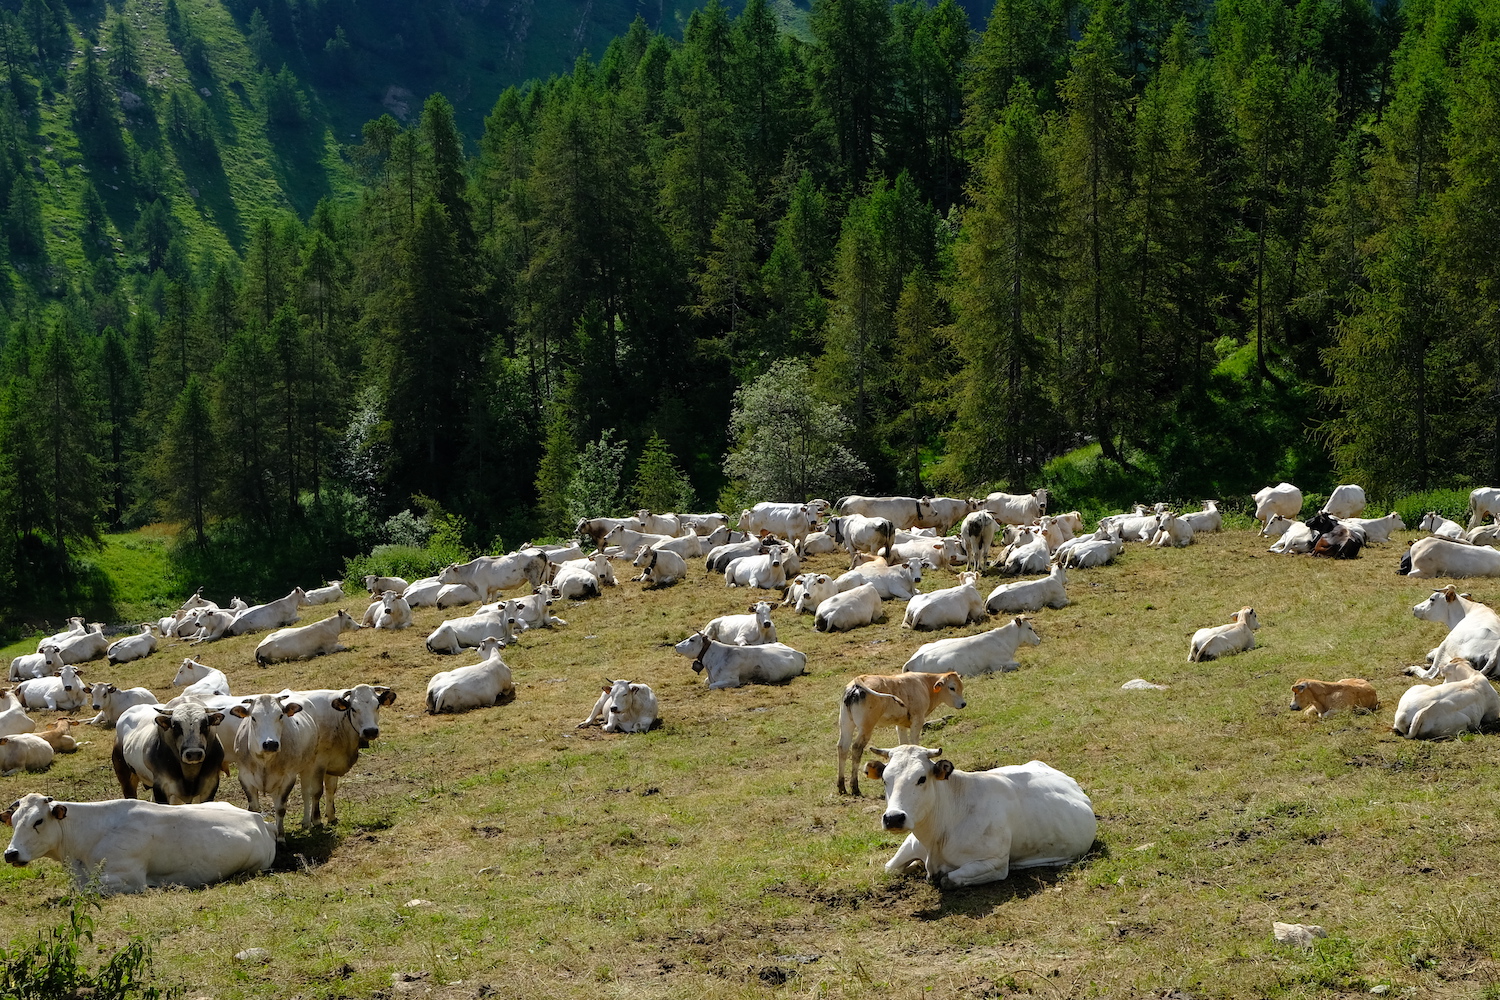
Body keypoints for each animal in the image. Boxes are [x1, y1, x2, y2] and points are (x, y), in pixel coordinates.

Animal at [672, 632, 804, 689]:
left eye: (692, 639)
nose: (676, 646)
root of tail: (799, 653)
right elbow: (706, 682)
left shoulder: (732, 680)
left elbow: (711, 686)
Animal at [864, 746, 1098, 887]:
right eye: (885, 779)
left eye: (921, 778)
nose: (893, 818)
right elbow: (889, 868)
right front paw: (914, 866)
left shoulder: (995, 863)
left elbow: (948, 879)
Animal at [900, 617, 1044, 680]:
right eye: (1030, 628)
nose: (1038, 640)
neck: (1004, 640)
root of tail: (912, 661)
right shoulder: (999, 664)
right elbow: (1018, 664)